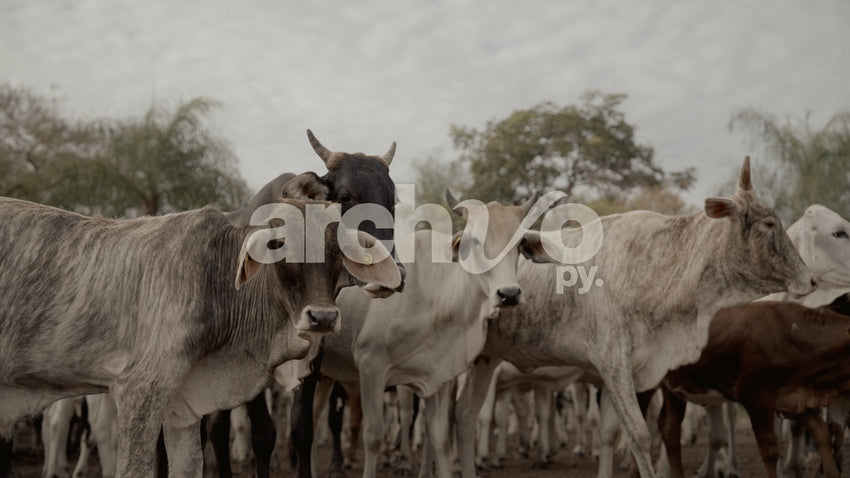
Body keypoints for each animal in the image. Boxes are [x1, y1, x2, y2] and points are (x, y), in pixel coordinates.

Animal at [312, 192, 553, 478]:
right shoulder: (372, 366)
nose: (509, 294)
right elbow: (373, 437)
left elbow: (440, 440)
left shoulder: (439, 375)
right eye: (474, 241)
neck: (434, 295)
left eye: (519, 244)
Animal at [453, 157, 815, 478]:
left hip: (484, 361)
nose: (810, 279)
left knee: (466, 417)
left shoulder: (635, 371)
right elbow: (640, 435)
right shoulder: (613, 363)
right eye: (769, 223)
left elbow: (616, 433)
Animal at [658, 298, 850, 478]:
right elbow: (770, 450)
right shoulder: (756, 398)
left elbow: (822, 432)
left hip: (674, 392)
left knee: (668, 430)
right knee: (668, 431)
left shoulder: (791, 399)